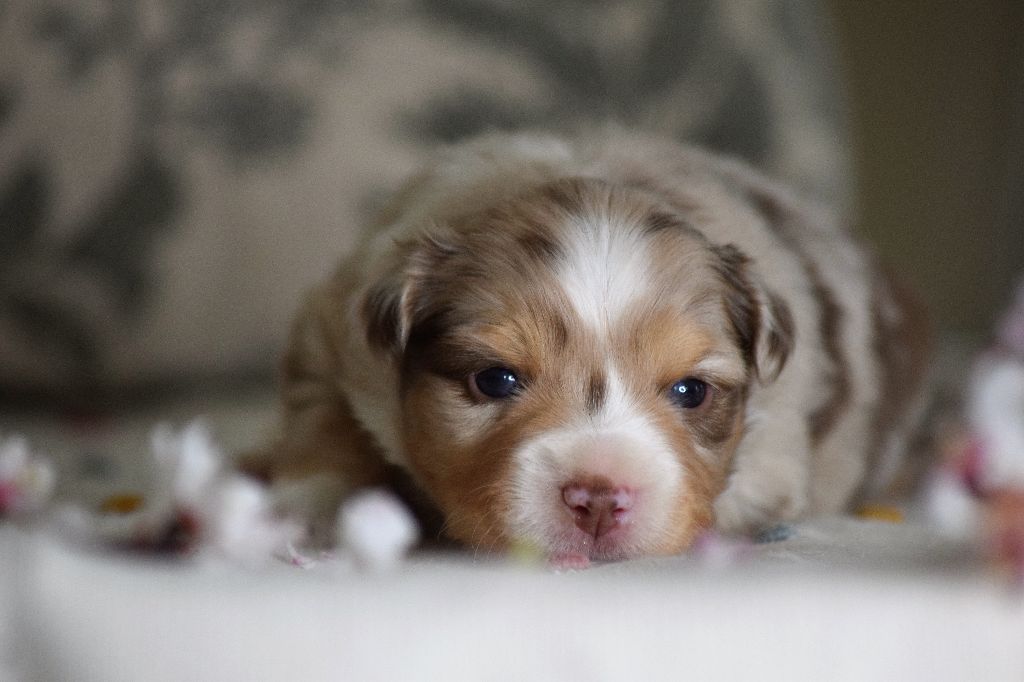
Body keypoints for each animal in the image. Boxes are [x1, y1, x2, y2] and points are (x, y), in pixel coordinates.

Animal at [251, 130, 933, 565]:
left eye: (691, 391)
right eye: (495, 379)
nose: (600, 500)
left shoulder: (775, 458)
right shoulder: (334, 330)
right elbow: (325, 424)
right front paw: (309, 511)